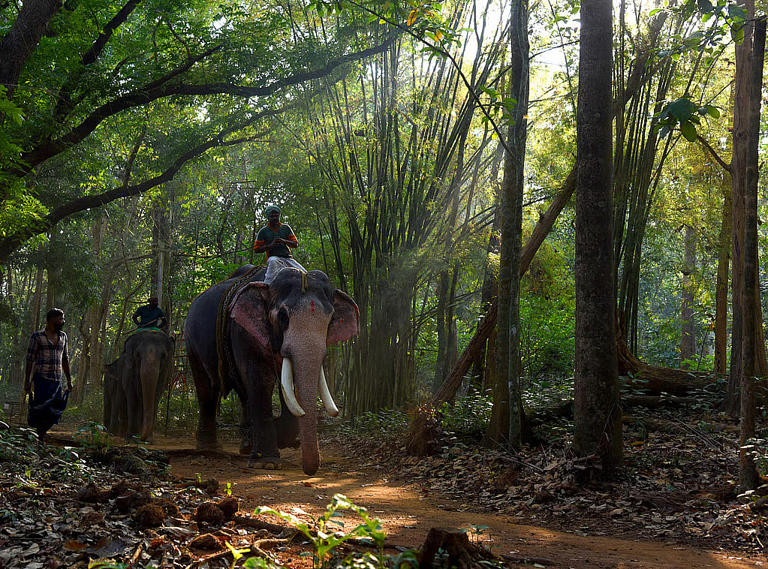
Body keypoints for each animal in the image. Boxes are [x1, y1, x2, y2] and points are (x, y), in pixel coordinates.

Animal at [184, 262, 359, 475]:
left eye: (331, 318)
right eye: (283, 316)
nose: (310, 471)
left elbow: (287, 388)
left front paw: (283, 440)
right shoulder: (243, 330)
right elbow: (261, 381)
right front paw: (266, 463)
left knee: (243, 393)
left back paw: (246, 444)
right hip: (191, 340)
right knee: (207, 388)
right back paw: (210, 449)